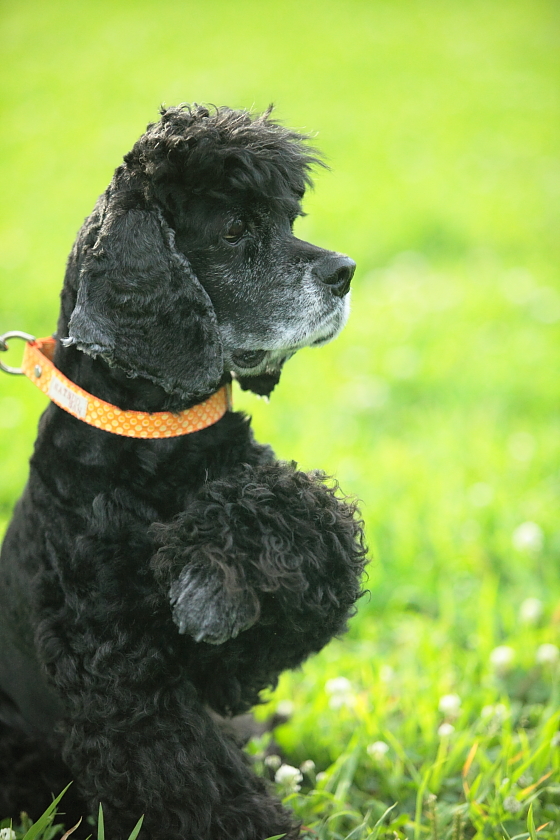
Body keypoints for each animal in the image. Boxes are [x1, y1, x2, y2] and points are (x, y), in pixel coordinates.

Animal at [0, 106, 366, 840]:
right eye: (232, 230)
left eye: (288, 219)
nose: (345, 271)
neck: (157, 445)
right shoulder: (120, 682)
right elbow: (193, 782)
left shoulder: (232, 670)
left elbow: (314, 523)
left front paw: (209, 575)